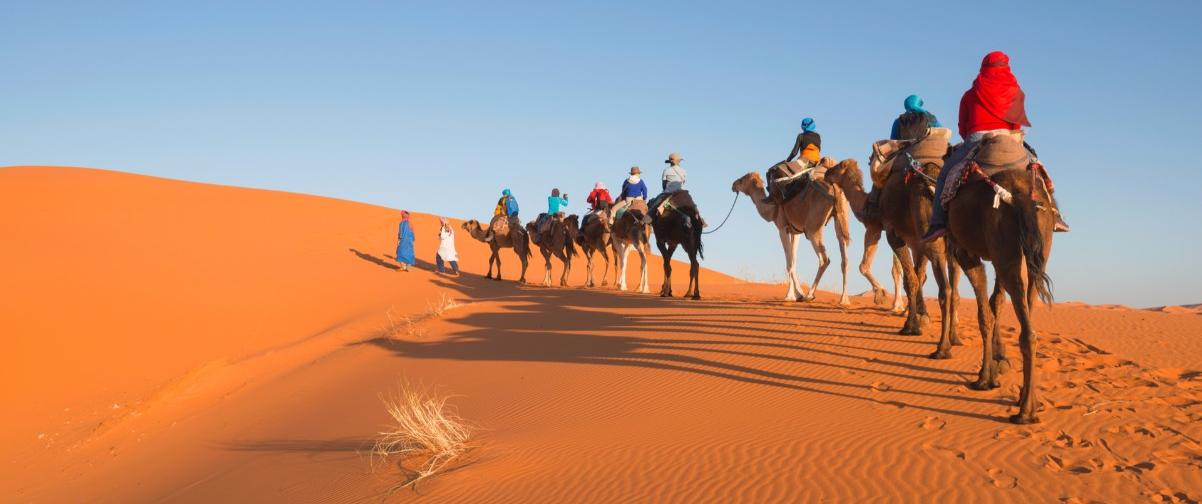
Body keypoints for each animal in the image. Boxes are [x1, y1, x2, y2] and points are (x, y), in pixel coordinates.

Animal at [726, 167, 851, 305]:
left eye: (742, 180)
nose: (733, 185)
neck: (772, 209)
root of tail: (834, 187)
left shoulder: (782, 228)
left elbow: (789, 263)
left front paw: (797, 294)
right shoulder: (795, 232)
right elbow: (793, 260)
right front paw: (793, 295)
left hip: (813, 228)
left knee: (824, 259)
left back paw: (810, 295)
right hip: (841, 216)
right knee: (844, 257)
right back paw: (844, 300)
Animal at [947, 153, 1052, 425]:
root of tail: (1021, 194)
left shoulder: (964, 251)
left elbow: (985, 314)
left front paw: (985, 378)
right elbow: (995, 305)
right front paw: (995, 369)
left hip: (1003, 248)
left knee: (1024, 327)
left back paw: (1025, 412)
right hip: (1036, 251)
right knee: (1029, 315)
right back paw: (1028, 401)